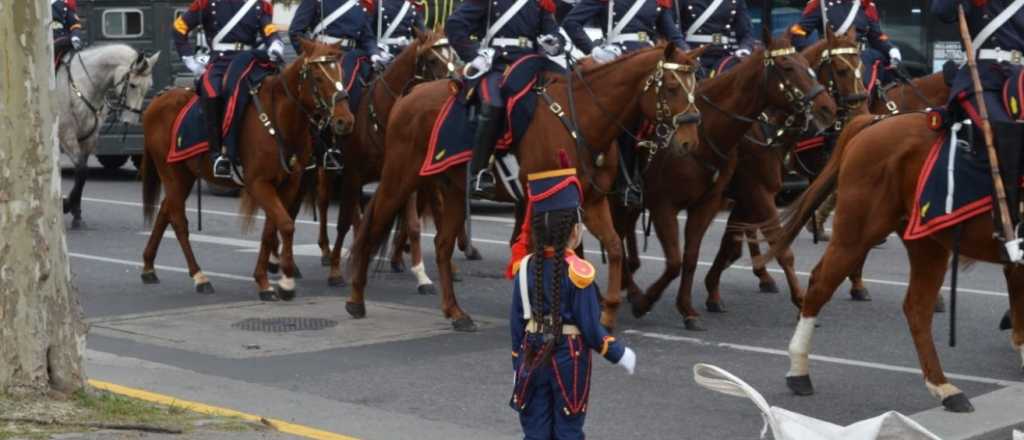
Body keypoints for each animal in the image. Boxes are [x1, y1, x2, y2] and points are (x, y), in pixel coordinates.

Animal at [55, 43, 158, 228]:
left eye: (149, 86)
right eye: (133, 85)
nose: (131, 121)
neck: (83, 85)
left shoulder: (88, 139)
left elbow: (82, 174)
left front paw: (76, 213)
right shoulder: (67, 136)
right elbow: (81, 170)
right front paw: (67, 205)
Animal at [140, 39, 356, 300]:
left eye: (341, 72)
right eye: (317, 76)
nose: (345, 120)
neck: (279, 120)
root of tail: (157, 101)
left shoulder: (287, 184)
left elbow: (272, 230)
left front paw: (265, 279)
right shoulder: (259, 184)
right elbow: (286, 225)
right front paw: (284, 282)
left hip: (184, 176)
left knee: (165, 211)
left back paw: (149, 267)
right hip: (172, 174)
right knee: (178, 221)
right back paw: (199, 277)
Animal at [348, 45, 708, 333]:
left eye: (697, 87)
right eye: (672, 87)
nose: (690, 143)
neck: (580, 119)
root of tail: (409, 96)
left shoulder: (592, 202)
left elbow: (615, 249)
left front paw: (606, 315)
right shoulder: (547, 202)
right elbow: (542, 253)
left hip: (452, 191)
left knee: (441, 244)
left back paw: (456, 312)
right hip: (399, 178)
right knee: (371, 227)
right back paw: (355, 299)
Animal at [618, 32, 835, 327]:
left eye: (809, 67)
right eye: (788, 67)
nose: (828, 108)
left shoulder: (723, 200)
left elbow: (711, 251)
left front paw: (705, 297)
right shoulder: (748, 193)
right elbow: (775, 246)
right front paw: (801, 300)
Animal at [765, 111, 1024, 413]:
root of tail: (875, 121)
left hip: (928, 246)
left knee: (917, 307)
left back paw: (944, 388)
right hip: (856, 235)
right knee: (820, 286)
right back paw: (799, 371)